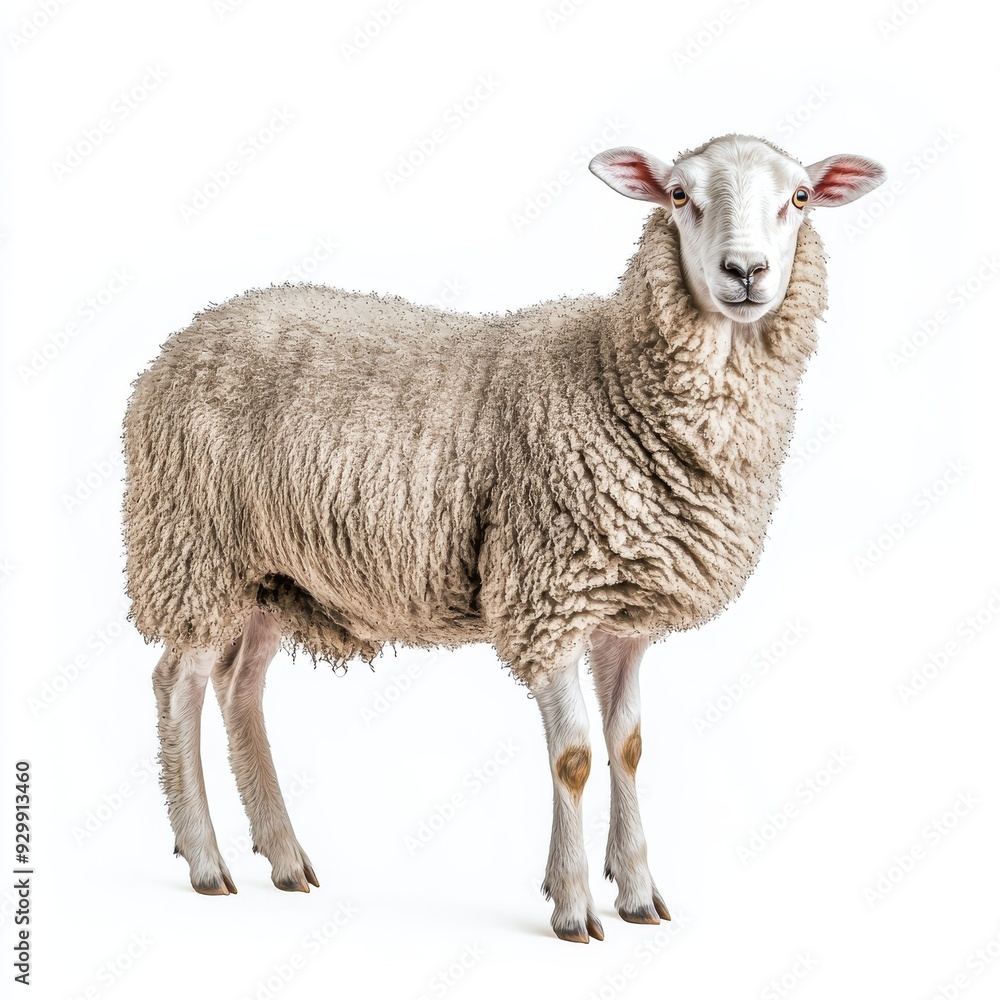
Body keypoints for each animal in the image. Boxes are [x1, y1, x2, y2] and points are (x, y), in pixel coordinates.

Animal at [123, 133, 885, 942]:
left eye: (799, 197)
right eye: (679, 195)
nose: (746, 272)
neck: (614, 377)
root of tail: (185, 337)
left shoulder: (622, 616)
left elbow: (628, 748)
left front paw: (638, 892)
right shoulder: (544, 595)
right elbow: (575, 757)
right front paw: (574, 904)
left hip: (271, 574)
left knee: (240, 688)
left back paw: (285, 856)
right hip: (192, 547)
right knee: (179, 684)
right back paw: (207, 861)